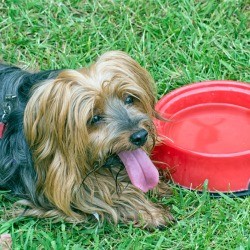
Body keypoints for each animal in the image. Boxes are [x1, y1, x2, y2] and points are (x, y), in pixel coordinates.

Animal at [0, 50, 172, 229]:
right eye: (94, 118)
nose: (140, 136)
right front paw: (149, 212)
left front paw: (157, 187)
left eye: (129, 99)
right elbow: (99, 196)